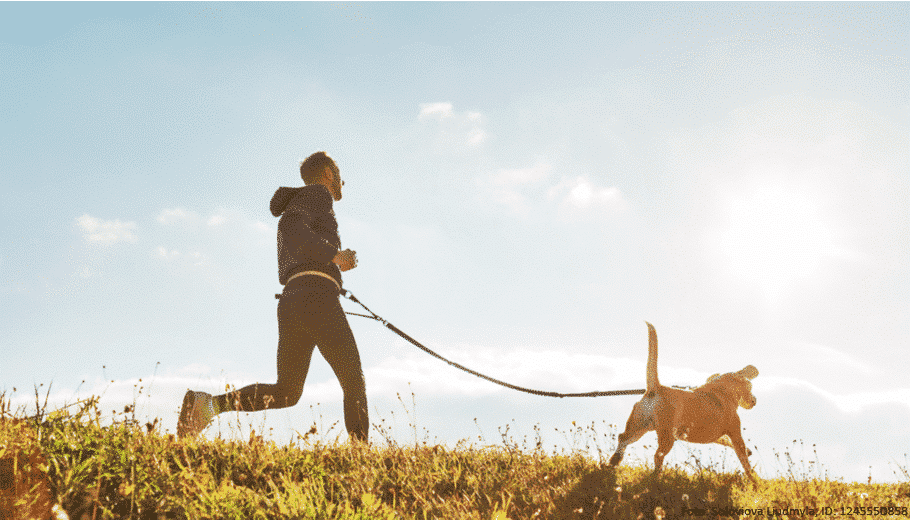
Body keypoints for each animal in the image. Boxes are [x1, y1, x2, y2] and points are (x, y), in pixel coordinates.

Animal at [612, 322, 764, 486]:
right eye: (750, 386)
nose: (755, 401)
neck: (722, 389)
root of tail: (656, 387)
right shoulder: (735, 432)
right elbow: (744, 460)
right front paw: (755, 481)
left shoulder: (717, 435)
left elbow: (726, 442)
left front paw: (749, 453)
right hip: (666, 436)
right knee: (658, 455)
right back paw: (655, 478)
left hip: (639, 426)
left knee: (622, 439)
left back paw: (613, 462)